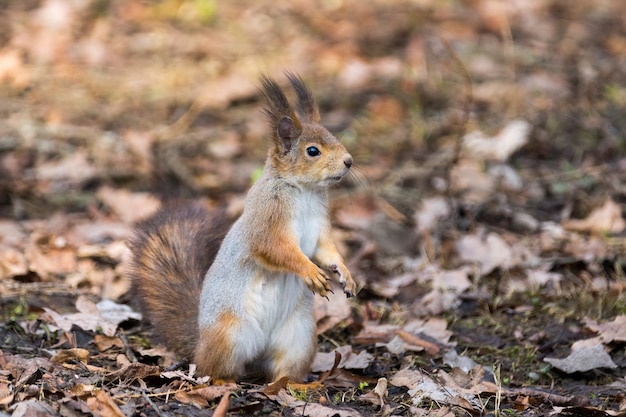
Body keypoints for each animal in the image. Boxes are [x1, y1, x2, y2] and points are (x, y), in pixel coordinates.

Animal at [127, 73, 356, 382]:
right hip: (229, 335)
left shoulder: (319, 227)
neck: (304, 191)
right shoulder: (266, 219)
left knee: (284, 371)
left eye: (333, 136)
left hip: (300, 338)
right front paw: (310, 272)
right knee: (213, 368)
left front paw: (345, 274)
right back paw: (224, 382)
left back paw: (298, 386)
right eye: (312, 151)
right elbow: (275, 250)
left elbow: (327, 251)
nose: (349, 161)